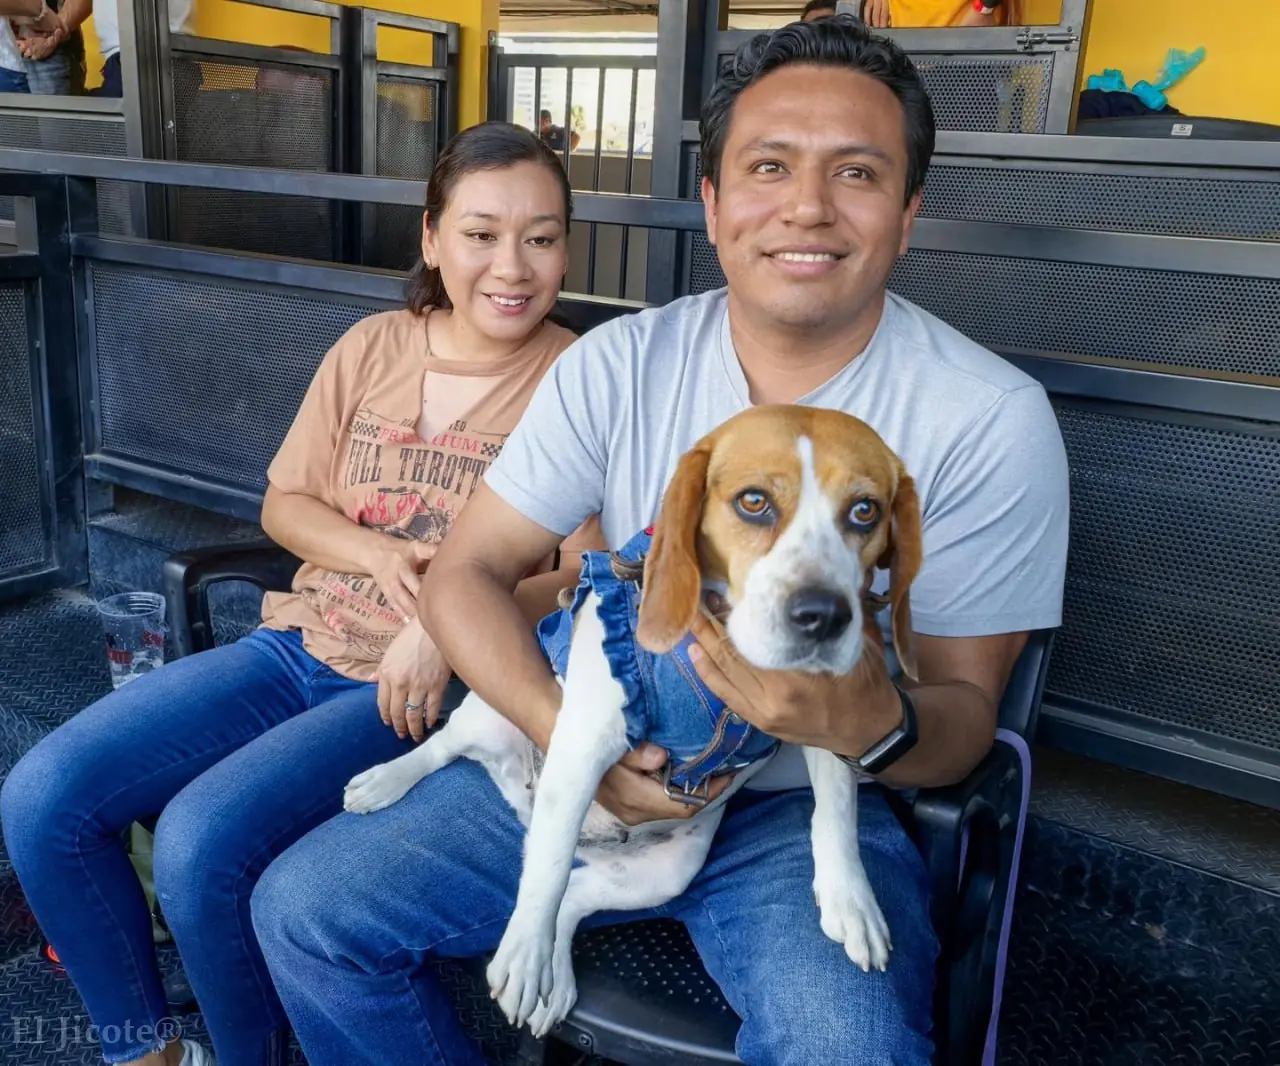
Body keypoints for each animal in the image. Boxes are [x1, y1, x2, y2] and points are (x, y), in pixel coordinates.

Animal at [342, 403, 922, 1038]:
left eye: (865, 511)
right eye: (753, 502)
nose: (823, 616)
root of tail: (522, 803)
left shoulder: (822, 718)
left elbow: (837, 810)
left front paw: (851, 897)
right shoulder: (586, 740)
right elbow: (546, 868)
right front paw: (523, 953)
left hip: (666, 871)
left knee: (573, 893)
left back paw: (556, 972)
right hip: (488, 718)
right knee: (447, 752)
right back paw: (385, 782)